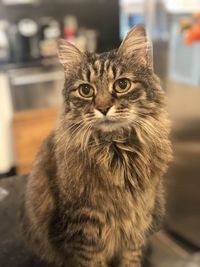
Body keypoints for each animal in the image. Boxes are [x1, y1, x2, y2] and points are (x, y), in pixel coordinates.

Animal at [21, 24, 172, 266]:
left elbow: (131, 260)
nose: (103, 108)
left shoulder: (138, 224)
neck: (116, 153)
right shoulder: (84, 232)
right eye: (86, 90)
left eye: (122, 85)